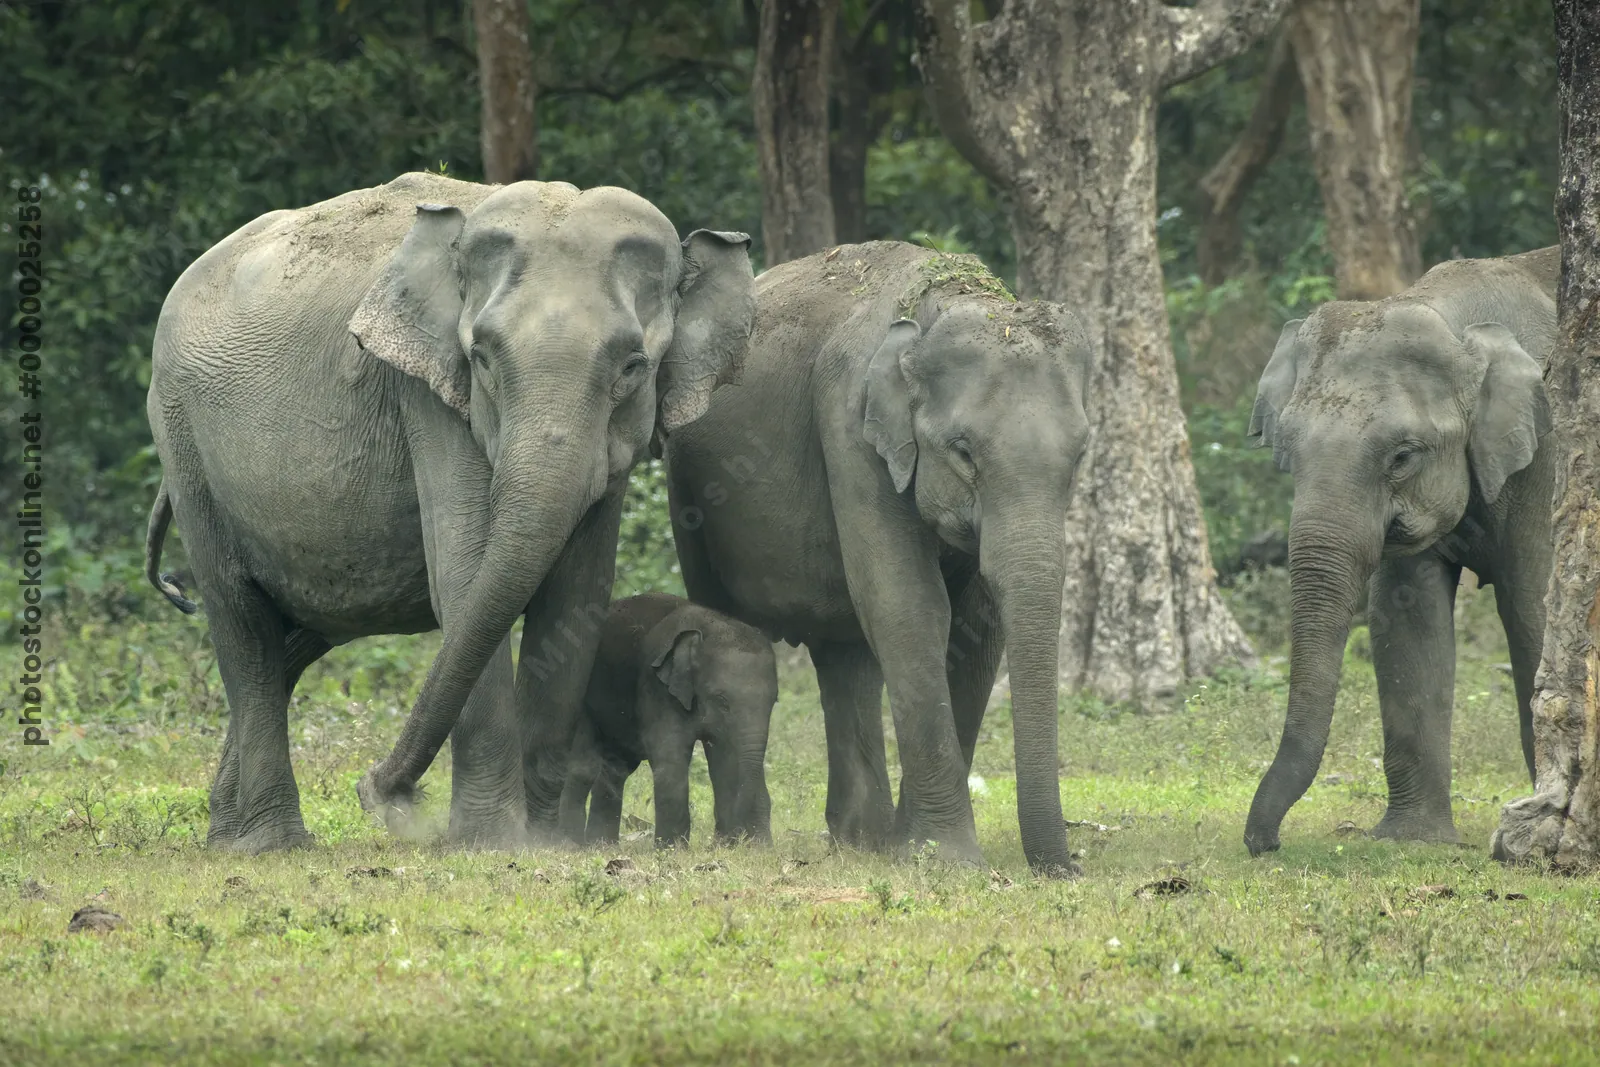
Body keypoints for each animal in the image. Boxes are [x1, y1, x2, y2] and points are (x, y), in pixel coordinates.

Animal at [558, 592, 777, 847]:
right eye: (722, 701)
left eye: (774, 701)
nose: (725, 839)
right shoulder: (656, 687)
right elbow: (670, 756)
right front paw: (673, 850)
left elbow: (724, 759)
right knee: (583, 767)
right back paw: (573, 844)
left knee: (615, 770)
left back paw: (601, 846)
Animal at [662, 241, 1093, 875]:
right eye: (963, 451)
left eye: (1081, 453)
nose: (1069, 870)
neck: (941, 303)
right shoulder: (850, 426)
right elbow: (907, 604)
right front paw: (950, 861)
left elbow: (976, 625)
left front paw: (917, 848)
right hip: (688, 489)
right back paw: (750, 840)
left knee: (845, 654)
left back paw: (862, 840)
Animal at [1243, 245, 1559, 856]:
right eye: (1285, 448)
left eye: (1403, 456)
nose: (1264, 844)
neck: (1455, 318)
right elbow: (1406, 616)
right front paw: (1414, 840)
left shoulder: (1555, 452)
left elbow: (1533, 609)